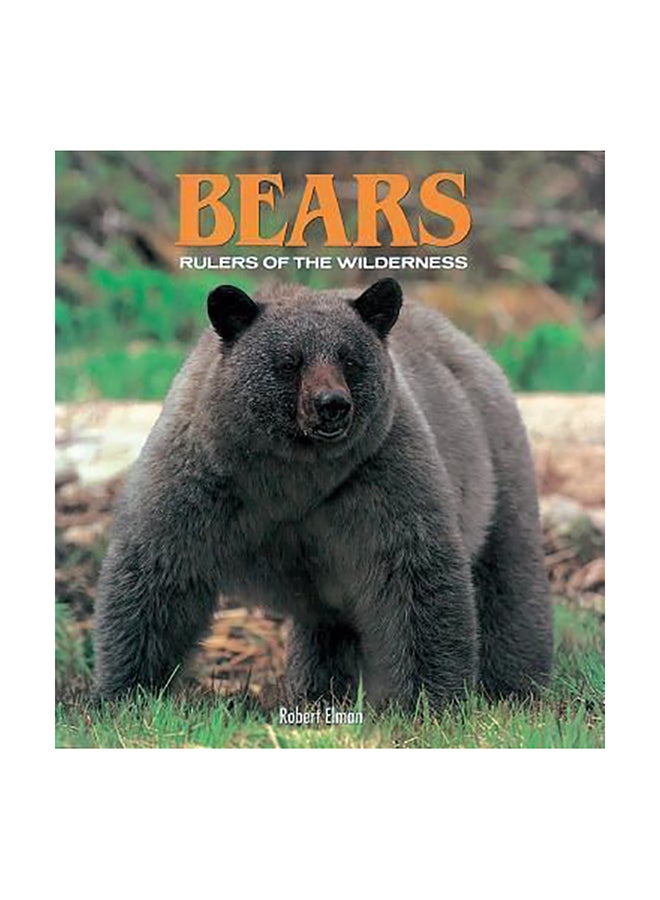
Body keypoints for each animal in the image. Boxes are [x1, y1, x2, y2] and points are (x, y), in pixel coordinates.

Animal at [94, 277, 553, 708]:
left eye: (350, 359)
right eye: (289, 361)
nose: (331, 404)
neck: (293, 471)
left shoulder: (381, 474)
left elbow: (418, 576)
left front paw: (431, 700)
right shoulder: (203, 480)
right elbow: (159, 574)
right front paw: (124, 693)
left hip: (496, 471)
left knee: (508, 582)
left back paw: (514, 686)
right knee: (327, 629)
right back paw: (318, 693)